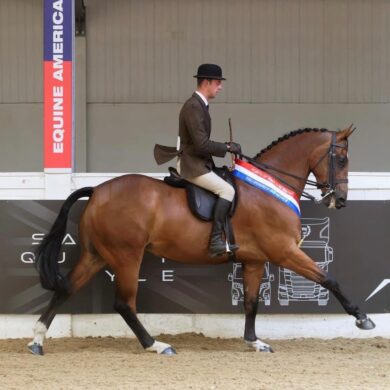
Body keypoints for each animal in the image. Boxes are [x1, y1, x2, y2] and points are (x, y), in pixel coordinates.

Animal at [28, 126, 374, 354]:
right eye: (342, 160)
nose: (340, 201)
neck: (269, 186)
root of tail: (98, 190)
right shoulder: (284, 251)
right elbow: (329, 279)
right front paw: (362, 318)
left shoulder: (255, 260)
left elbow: (251, 301)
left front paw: (254, 341)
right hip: (127, 256)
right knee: (124, 303)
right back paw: (156, 345)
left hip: (96, 254)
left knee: (65, 289)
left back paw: (36, 341)